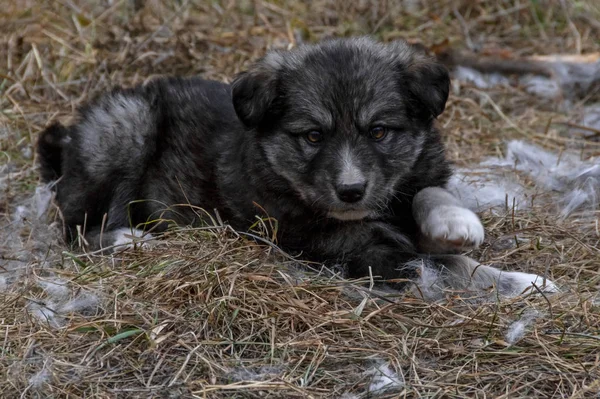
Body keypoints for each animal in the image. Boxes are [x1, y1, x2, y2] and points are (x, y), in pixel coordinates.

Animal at [36, 37, 552, 298]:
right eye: (313, 137)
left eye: (379, 132)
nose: (351, 191)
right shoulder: (342, 246)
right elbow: (441, 266)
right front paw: (519, 281)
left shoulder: (408, 182)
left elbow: (430, 196)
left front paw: (459, 224)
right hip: (126, 125)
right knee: (77, 229)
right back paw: (129, 240)